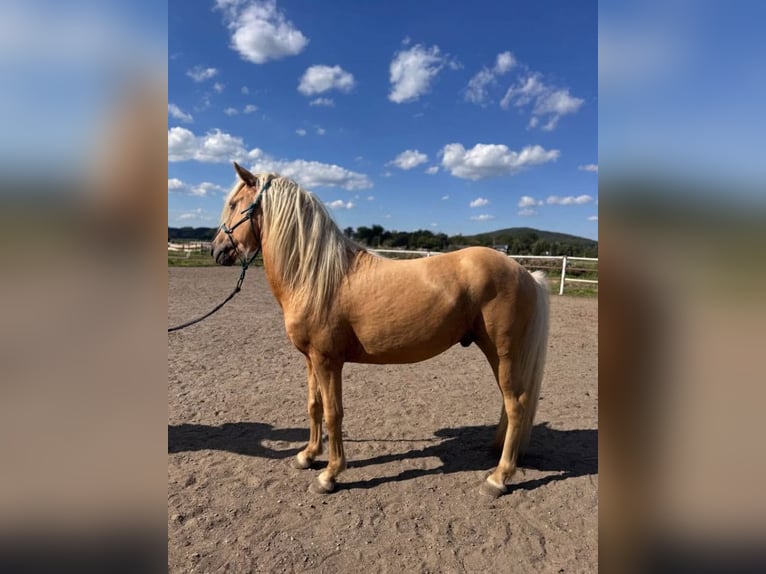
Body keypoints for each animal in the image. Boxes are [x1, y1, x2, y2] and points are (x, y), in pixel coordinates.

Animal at [211, 162, 550, 498]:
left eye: (233, 204)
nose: (216, 250)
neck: (315, 275)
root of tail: (525, 273)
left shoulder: (327, 361)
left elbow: (334, 413)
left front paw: (330, 474)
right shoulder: (310, 359)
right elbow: (314, 406)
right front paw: (307, 456)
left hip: (504, 354)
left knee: (516, 405)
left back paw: (499, 478)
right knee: (509, 405)